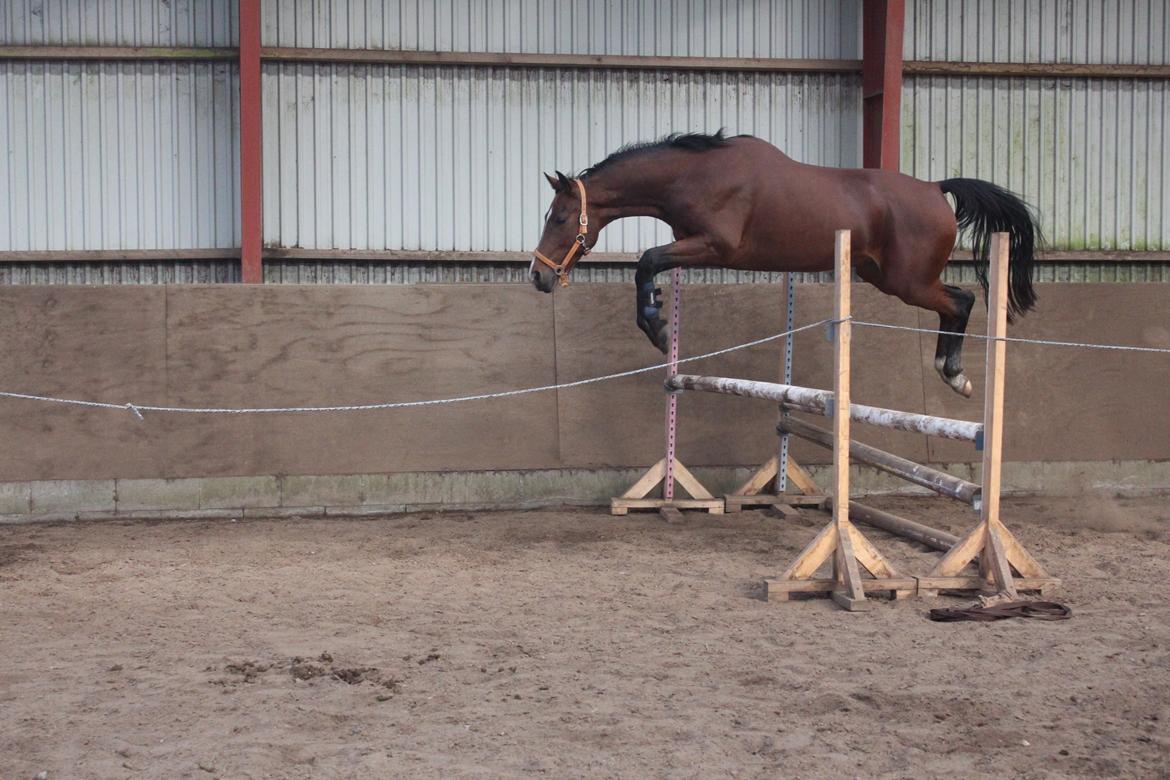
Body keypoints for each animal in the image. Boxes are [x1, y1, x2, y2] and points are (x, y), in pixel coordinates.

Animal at [533, 130, 1043, 397]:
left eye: (559, 218)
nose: (538, 277)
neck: (696, 175)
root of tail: (936, 188)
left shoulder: (716, 247)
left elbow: (646, 261)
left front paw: (657, 327)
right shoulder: (694, 245)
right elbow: (651, 266)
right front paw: (658, 312)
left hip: (909, 281)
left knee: (961, 300)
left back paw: (954, 374)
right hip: (882, 276)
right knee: (955, 301)